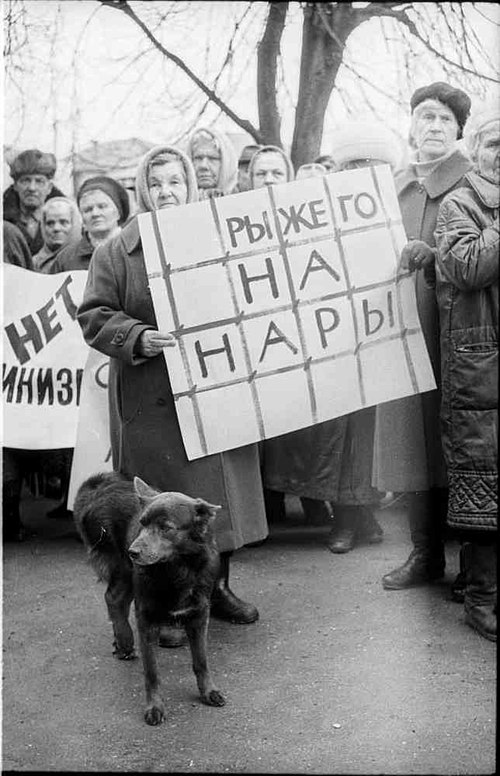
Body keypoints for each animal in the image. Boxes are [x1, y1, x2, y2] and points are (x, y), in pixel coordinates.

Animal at [73, 470, 226, 724]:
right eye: (142, 524)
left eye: (166, 528)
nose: (132, 552)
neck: (175, 571)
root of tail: (99, 488)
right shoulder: (146, 618)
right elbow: (152, 672)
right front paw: (155, 707)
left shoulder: (199, 615)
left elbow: (201, 661)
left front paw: (209, 691)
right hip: (123, 568)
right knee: (112, 599)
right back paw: (125, 640)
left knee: (116, 599)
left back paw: (122, 642)